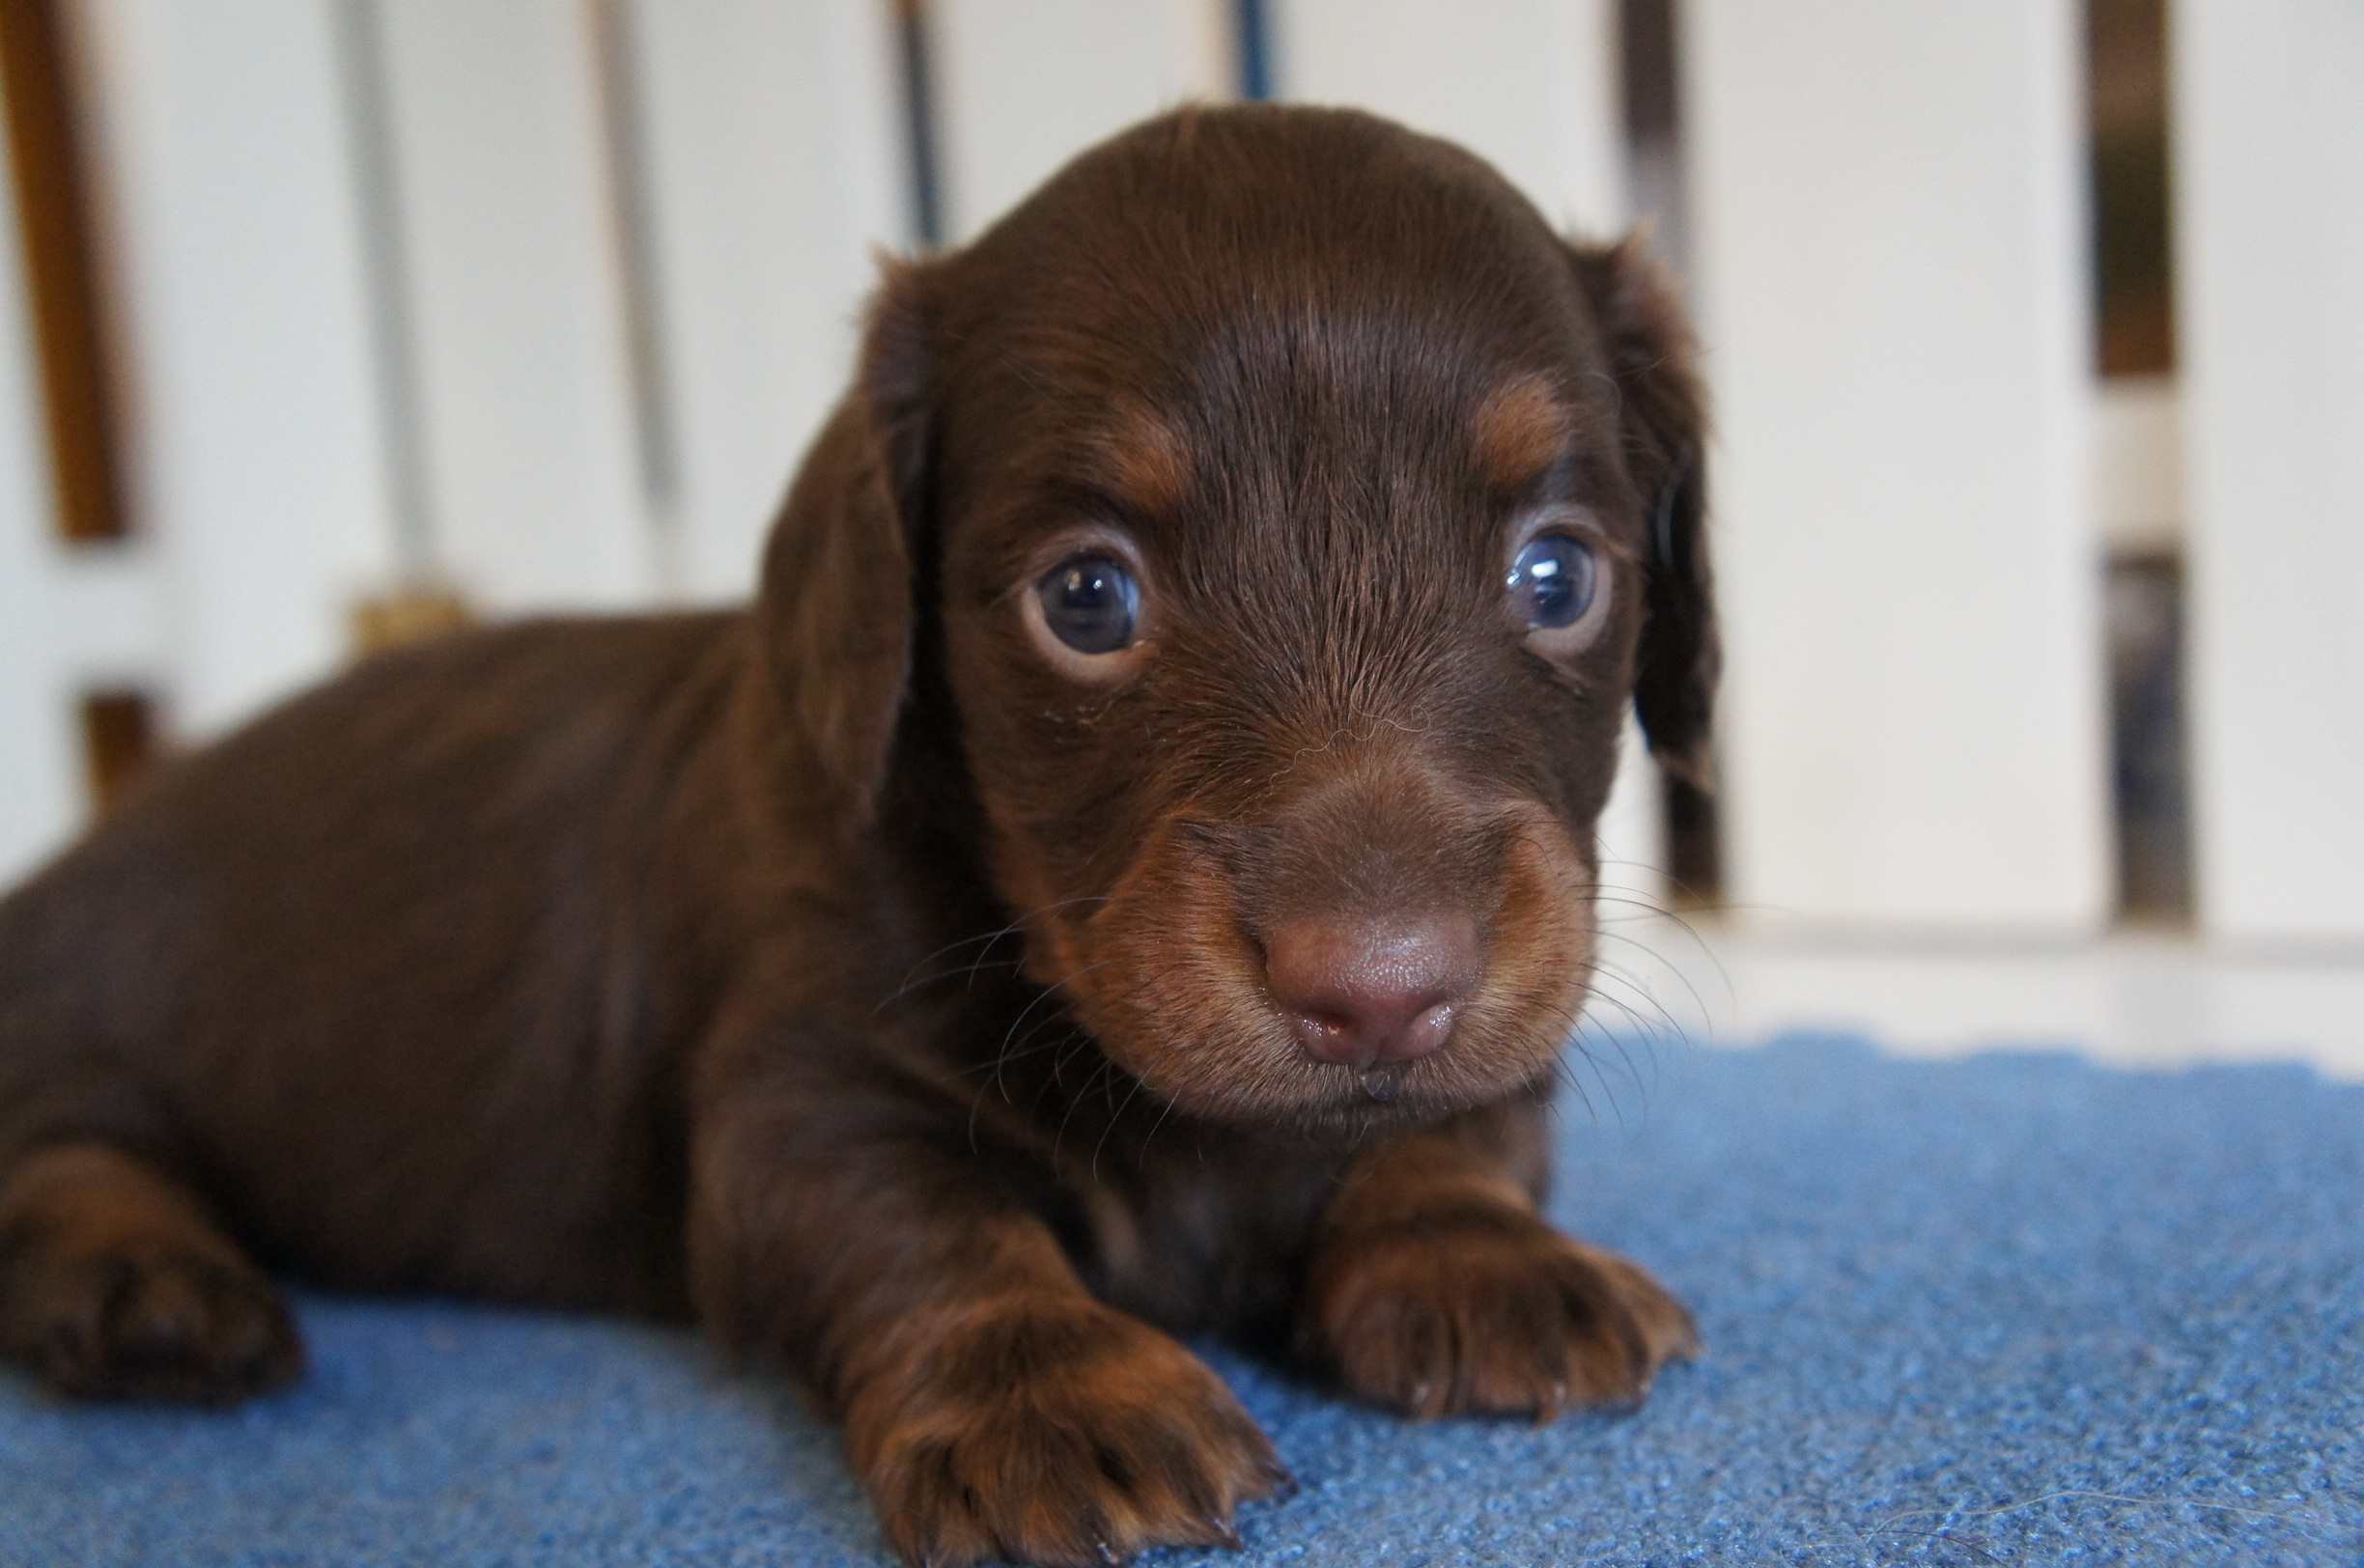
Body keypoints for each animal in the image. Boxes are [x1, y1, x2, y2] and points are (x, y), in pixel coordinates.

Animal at [0, 110, 1711, 1568]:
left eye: (1558, 574)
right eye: (1087, 599)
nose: (1378, 992)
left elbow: (1460, 1128)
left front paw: (1478, 1254)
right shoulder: (800, 1092)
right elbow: (924, 1225)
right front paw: (1054, 1394)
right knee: (54, 1152)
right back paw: (146, 1290)